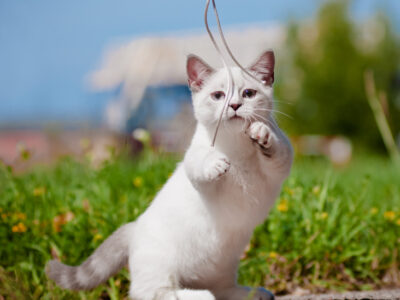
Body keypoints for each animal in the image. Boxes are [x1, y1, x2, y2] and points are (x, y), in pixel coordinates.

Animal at [46, 50, 294, 298]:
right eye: (218, 95)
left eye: (248, 93)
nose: (234, 105)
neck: (236, 146)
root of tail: (134, 227)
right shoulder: (199, 172)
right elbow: (199, 164)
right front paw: (216, 163)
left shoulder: (280, 164)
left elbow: (277, 148)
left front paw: (261, 133)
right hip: (162, 266)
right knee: (157, 292)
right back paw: (201, 295)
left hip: (223, 265)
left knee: (221, 289)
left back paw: (251, 293)